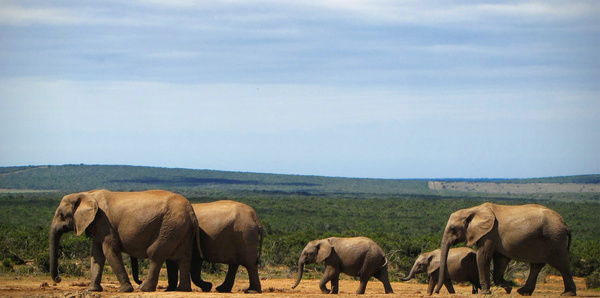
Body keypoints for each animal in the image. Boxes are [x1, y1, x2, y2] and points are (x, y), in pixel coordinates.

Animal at [48, 190, 200, 292]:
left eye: (61, 214)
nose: (58, 279)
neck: (87, 194)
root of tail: (191, 211)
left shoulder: (105, 222)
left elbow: (109, 250)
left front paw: (125, 290)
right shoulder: (97, 225)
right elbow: (96, 254)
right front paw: (91, 290)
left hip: (169, 227)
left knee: (156, 254)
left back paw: (143, 288)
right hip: (181, 228)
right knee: (184, 257)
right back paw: (182, 290)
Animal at [132, 200, 264, 294]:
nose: (140, 281)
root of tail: (256, 220)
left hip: (245, 235)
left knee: (249, 263)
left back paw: (251, 291)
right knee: (235, 263)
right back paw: (222, 289)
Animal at [436, 203, 576, 296]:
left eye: (453, 229)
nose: (436, 292)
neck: (473, 210)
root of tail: (565, 225)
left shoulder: (490, 233)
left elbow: (483, 256)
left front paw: (485, 293)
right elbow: (500, 260)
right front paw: (508, 287)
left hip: (555, 238)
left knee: (562, 264)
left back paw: (568, 294)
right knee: (537, 265)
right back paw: (523, 292)